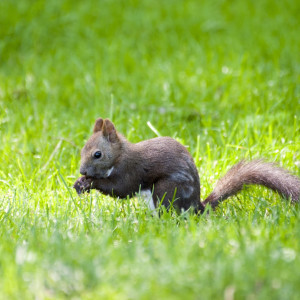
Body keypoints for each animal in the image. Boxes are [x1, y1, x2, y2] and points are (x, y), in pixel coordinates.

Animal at [73, 118, 300, 213]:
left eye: (97, 154)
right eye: (82, 150)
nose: (82, 170)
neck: (120, 155)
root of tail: (197, 208)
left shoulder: (131, 170)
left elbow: (120, 189)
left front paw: (90, 183)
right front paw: (80, 181)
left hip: (165, 191)